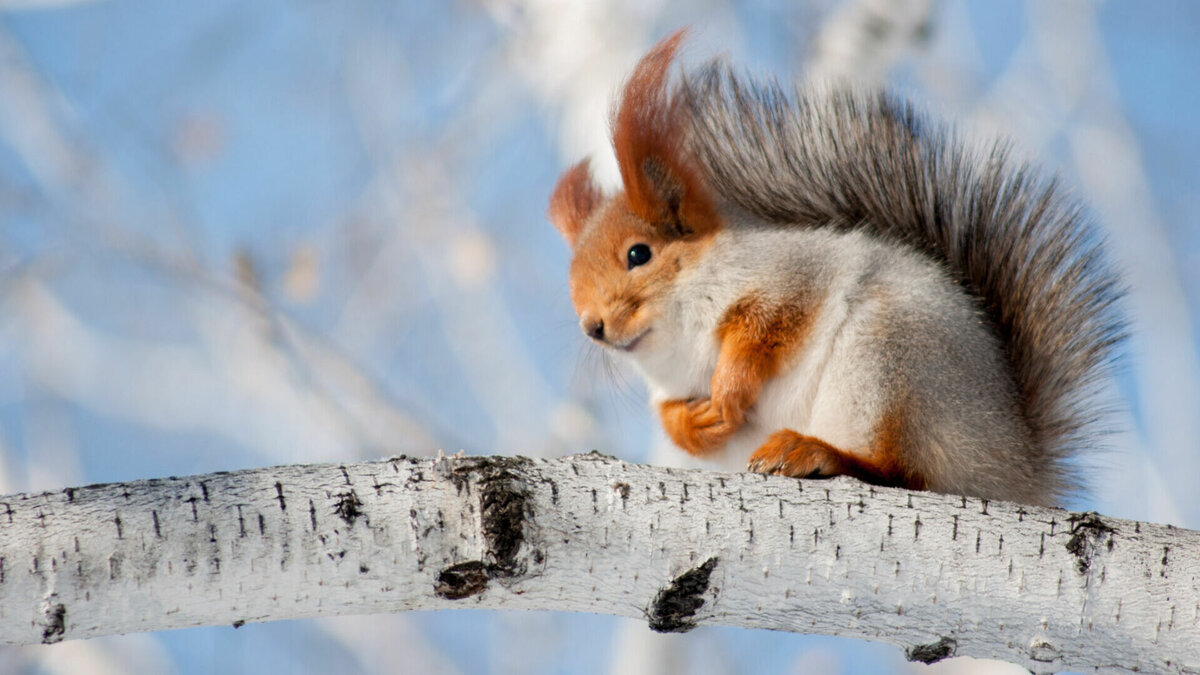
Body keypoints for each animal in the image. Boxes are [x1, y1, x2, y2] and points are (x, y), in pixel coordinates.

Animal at [549, 32, 1128, 504]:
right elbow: (672, 415)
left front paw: (729, 390)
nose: (592, 327)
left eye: (638, 254)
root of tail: (1017, 472)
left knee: (902, 472)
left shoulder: (791, 276)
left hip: (893, 366)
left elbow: (766, 326)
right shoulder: (668, 385)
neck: (678, 337)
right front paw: (697, 424)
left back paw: (817, 454)